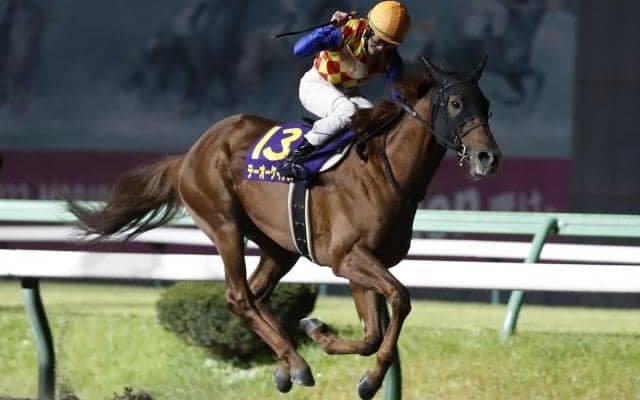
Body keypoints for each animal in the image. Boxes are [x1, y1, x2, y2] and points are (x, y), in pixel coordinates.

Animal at [69, 56, 501, 400]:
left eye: (487, 105)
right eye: (456, 103)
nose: (488, 157)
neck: (385, 170)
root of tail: (190, 154)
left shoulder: (361, 266)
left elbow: (372, 334)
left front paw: (321, 334)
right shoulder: (347, 258)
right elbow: (400, 298)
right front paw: (370, 377)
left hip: (280, 246)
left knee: (256, 294)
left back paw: (284, 364)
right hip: (224, 223)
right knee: (239, 296)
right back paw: (297, 363)